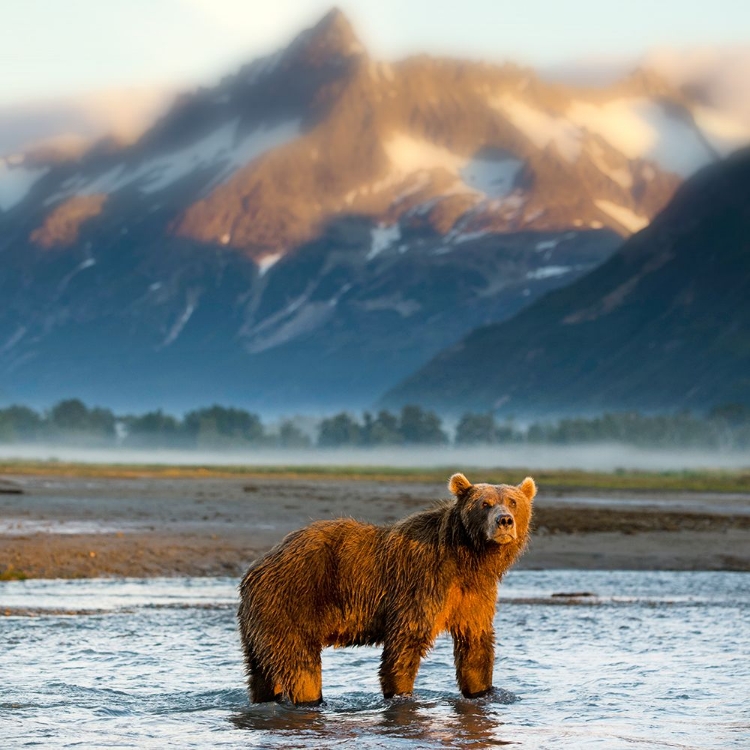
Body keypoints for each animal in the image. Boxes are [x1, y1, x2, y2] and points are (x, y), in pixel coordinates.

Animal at [238, 476, 536, 704]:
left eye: (513, 501)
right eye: (485, 504)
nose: (504, 521)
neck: (469, 558)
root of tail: (255, 568)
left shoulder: (474, 594)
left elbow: (475, 644)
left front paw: (483, 692)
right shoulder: (423, 583)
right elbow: (406, 642)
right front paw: (401, 695)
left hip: (260, 624)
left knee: (261, 672)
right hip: (293, 602)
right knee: (301, 668)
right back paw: (310, 701)